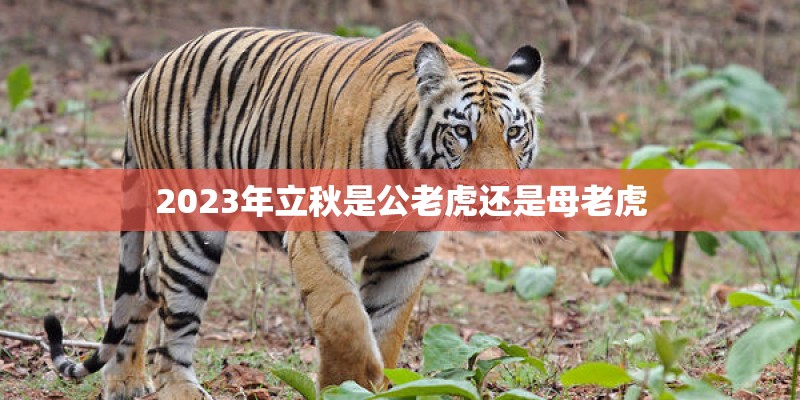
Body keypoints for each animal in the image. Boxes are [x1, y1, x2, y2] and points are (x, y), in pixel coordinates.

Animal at [43, 21, 545, 399]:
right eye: (462, 132)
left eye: (513, 132)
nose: (496, 193)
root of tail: (144, 76)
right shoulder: (316, 233)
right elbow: (345, 320)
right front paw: (347, 387)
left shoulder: (406, 254)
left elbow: (386, 329)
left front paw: (379, 387)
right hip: (193, 230)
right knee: (174, 325)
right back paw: (178, 389)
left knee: (143, 284)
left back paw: (124, 382)